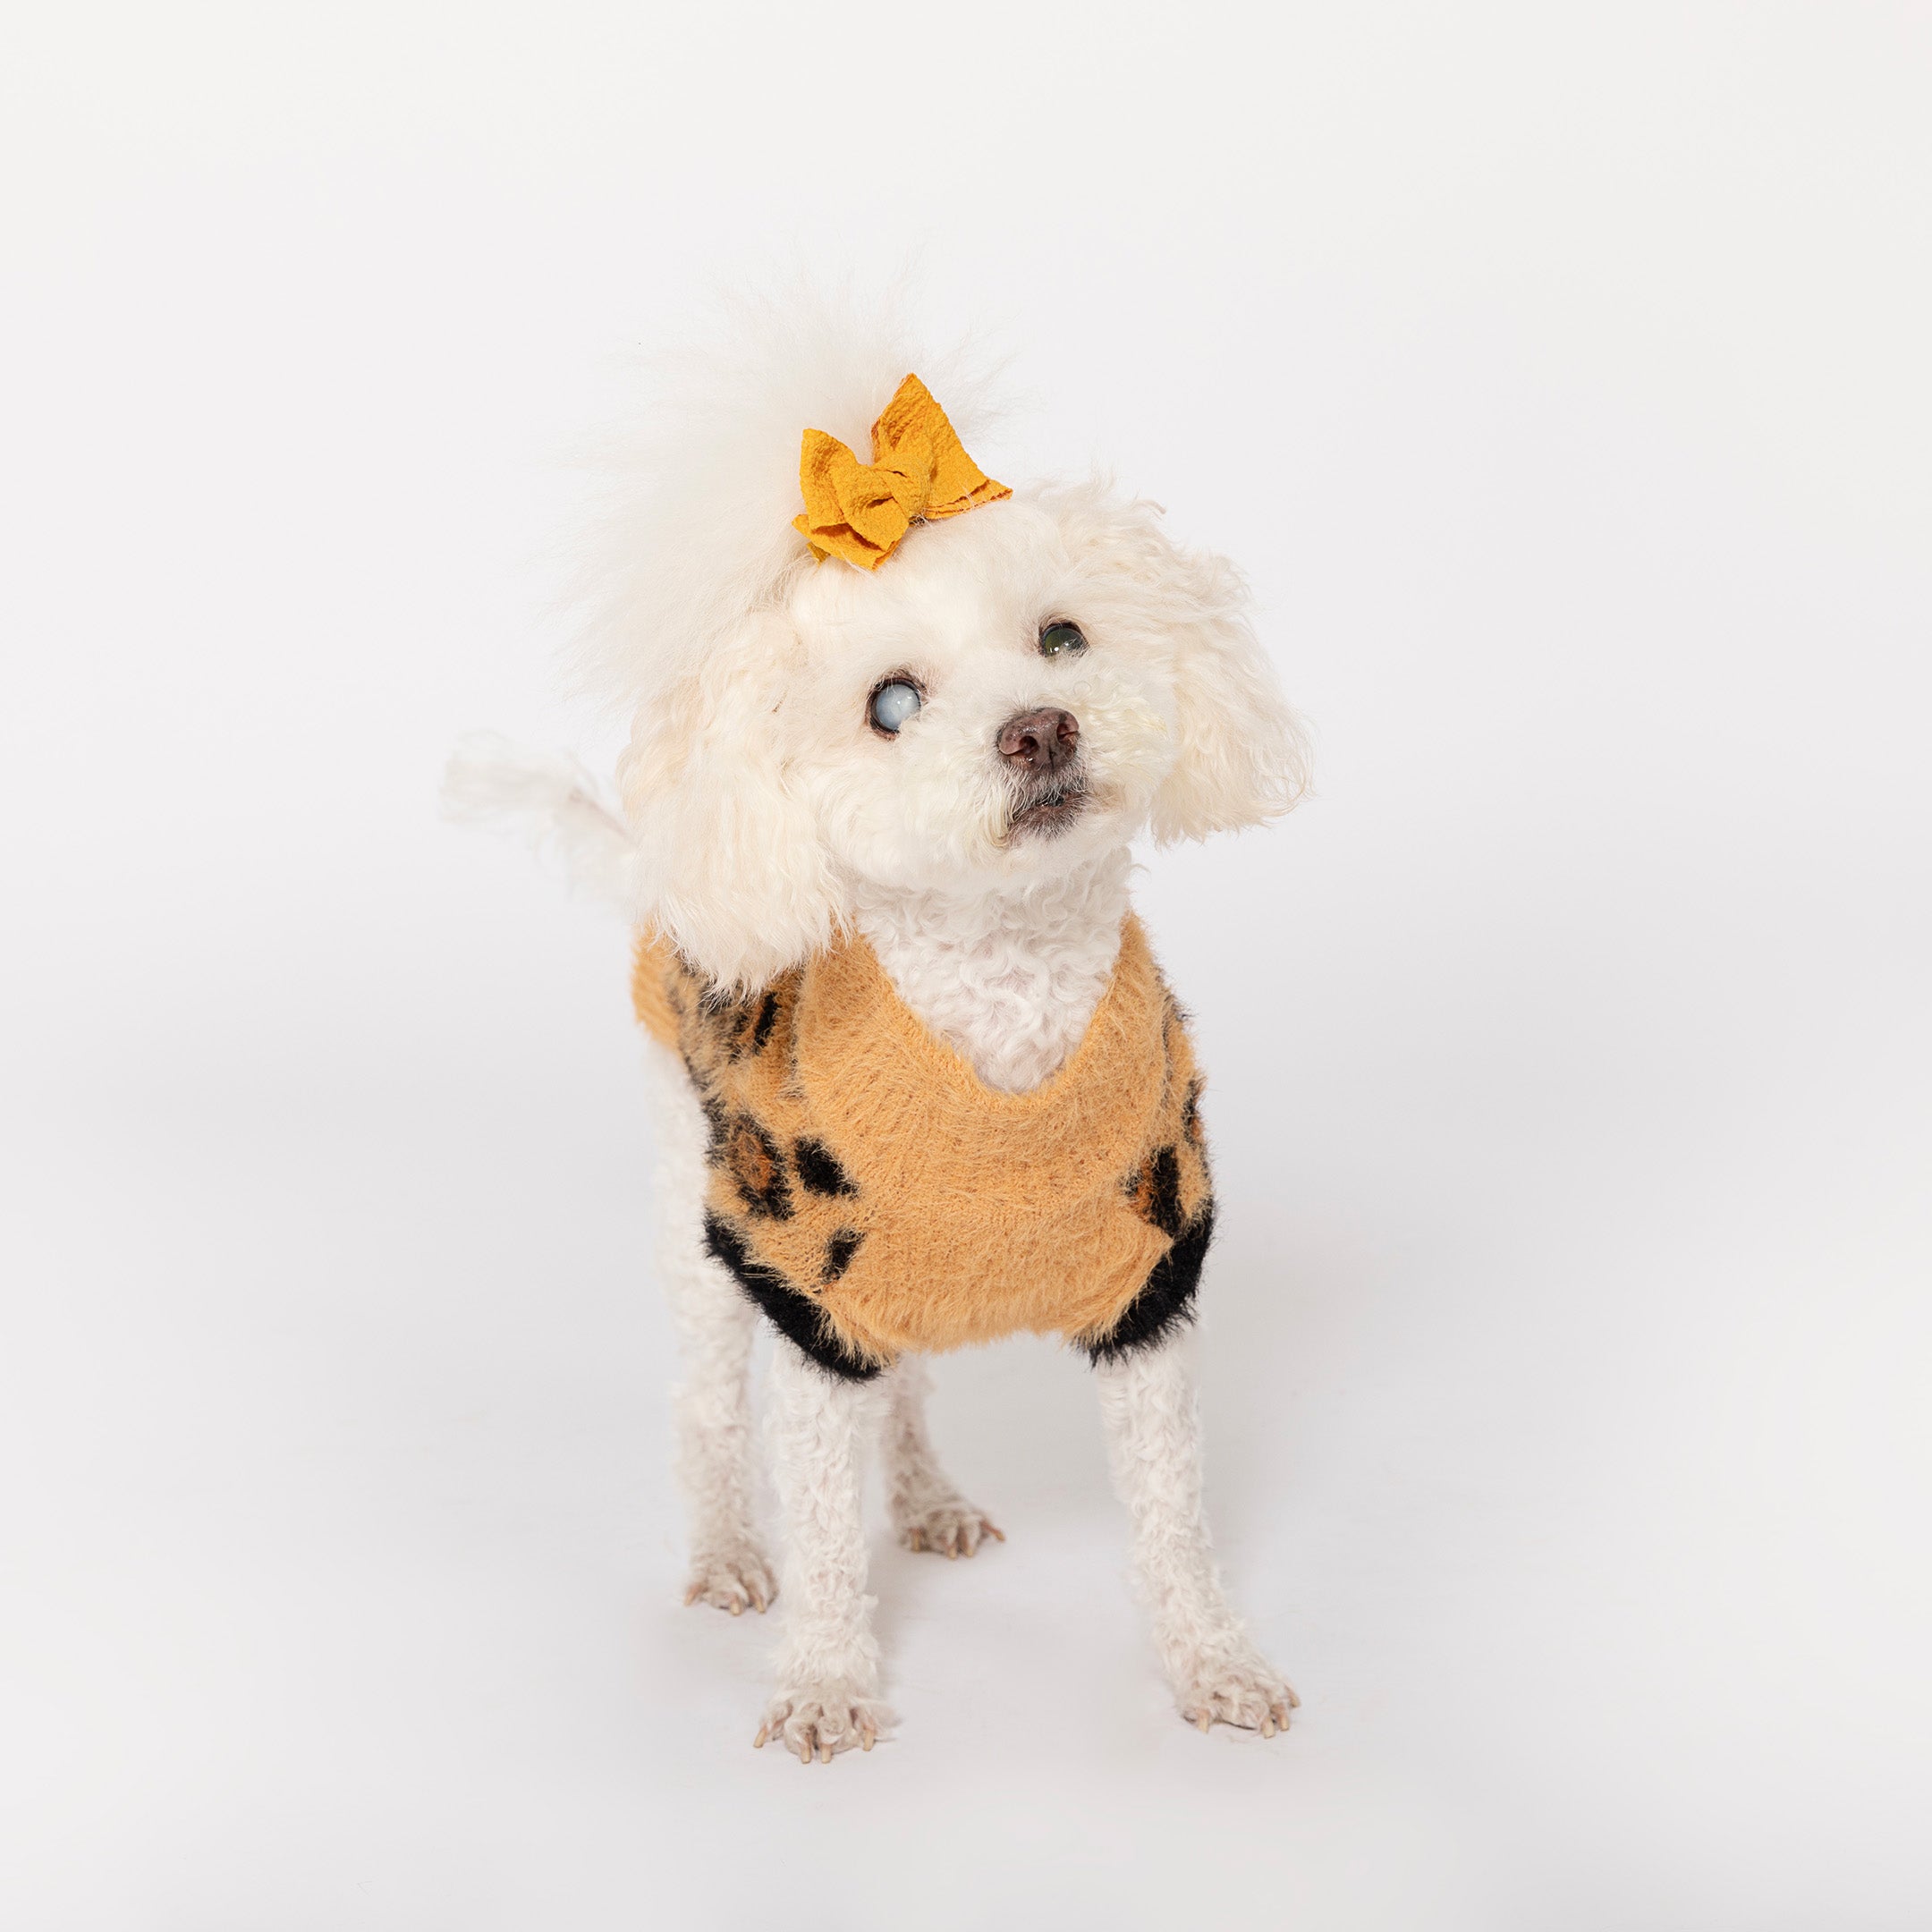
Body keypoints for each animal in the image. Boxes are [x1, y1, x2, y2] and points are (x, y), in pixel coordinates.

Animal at [444, 293, 1306, 1761]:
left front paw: (1214, 1664)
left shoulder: (1149, 1293)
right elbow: (824, 1531)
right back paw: (727, 1553)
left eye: (1062, 639)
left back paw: (930, 1497)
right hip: (702, 1217)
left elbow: (1174, 1523)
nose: (1038, 731)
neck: (1003, 1011)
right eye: (892, 704)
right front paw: (828, 1682)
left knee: (904, 1388)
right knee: (704, 1411)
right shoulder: (804, 1304)